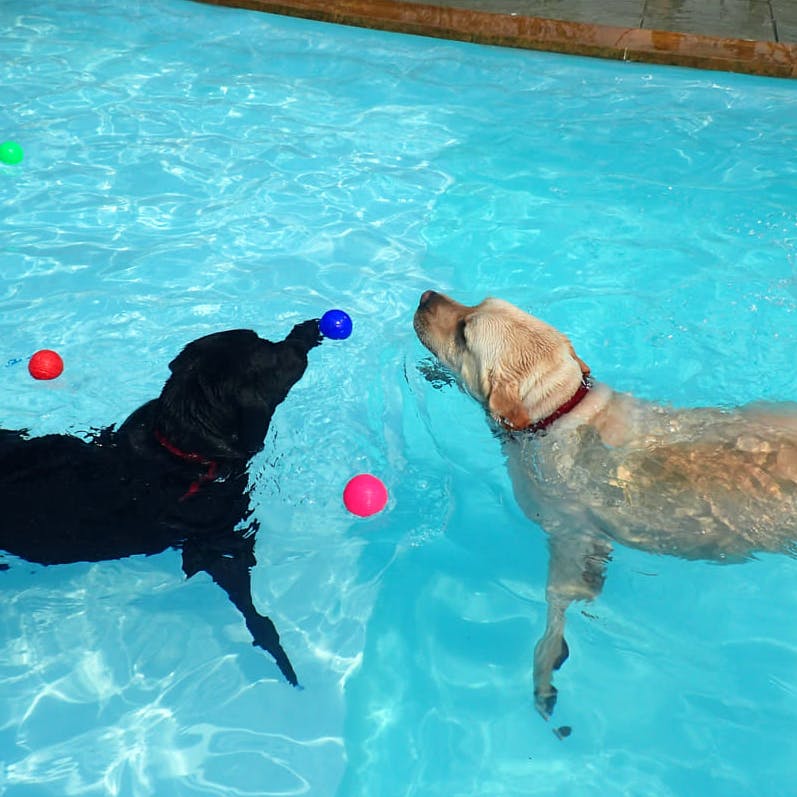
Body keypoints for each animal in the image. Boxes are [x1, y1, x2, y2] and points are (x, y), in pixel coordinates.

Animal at [1, 318, 324, 684]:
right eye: (268, 355)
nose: (305, 332)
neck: (184, 449)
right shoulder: (217, 542)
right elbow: (250, 607)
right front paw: (277, 653)